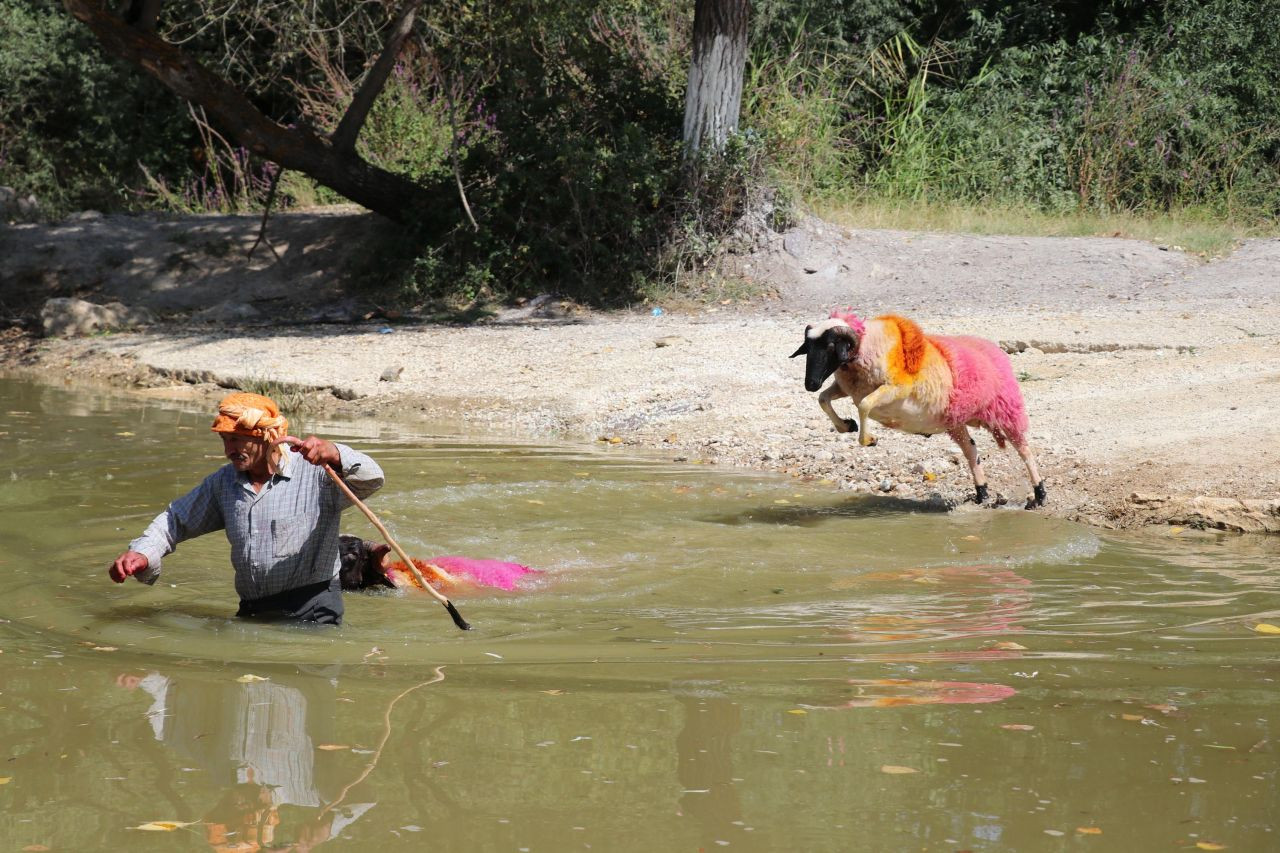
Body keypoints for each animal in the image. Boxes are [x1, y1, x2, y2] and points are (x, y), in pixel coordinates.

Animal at [788, 308, 1049, 507]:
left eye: (831, 345)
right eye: (808, 348)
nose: (810, 384)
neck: (868, 347)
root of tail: (993, 350)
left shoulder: (895, 388)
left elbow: (864, 405)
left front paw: (869, 439)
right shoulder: (846, 387)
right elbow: (824, 399)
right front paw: (846, 425)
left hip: (1005, 411)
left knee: (1025, 451)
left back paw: (1039, 495)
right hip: (955, 422)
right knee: (971, 451)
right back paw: (981, 494)